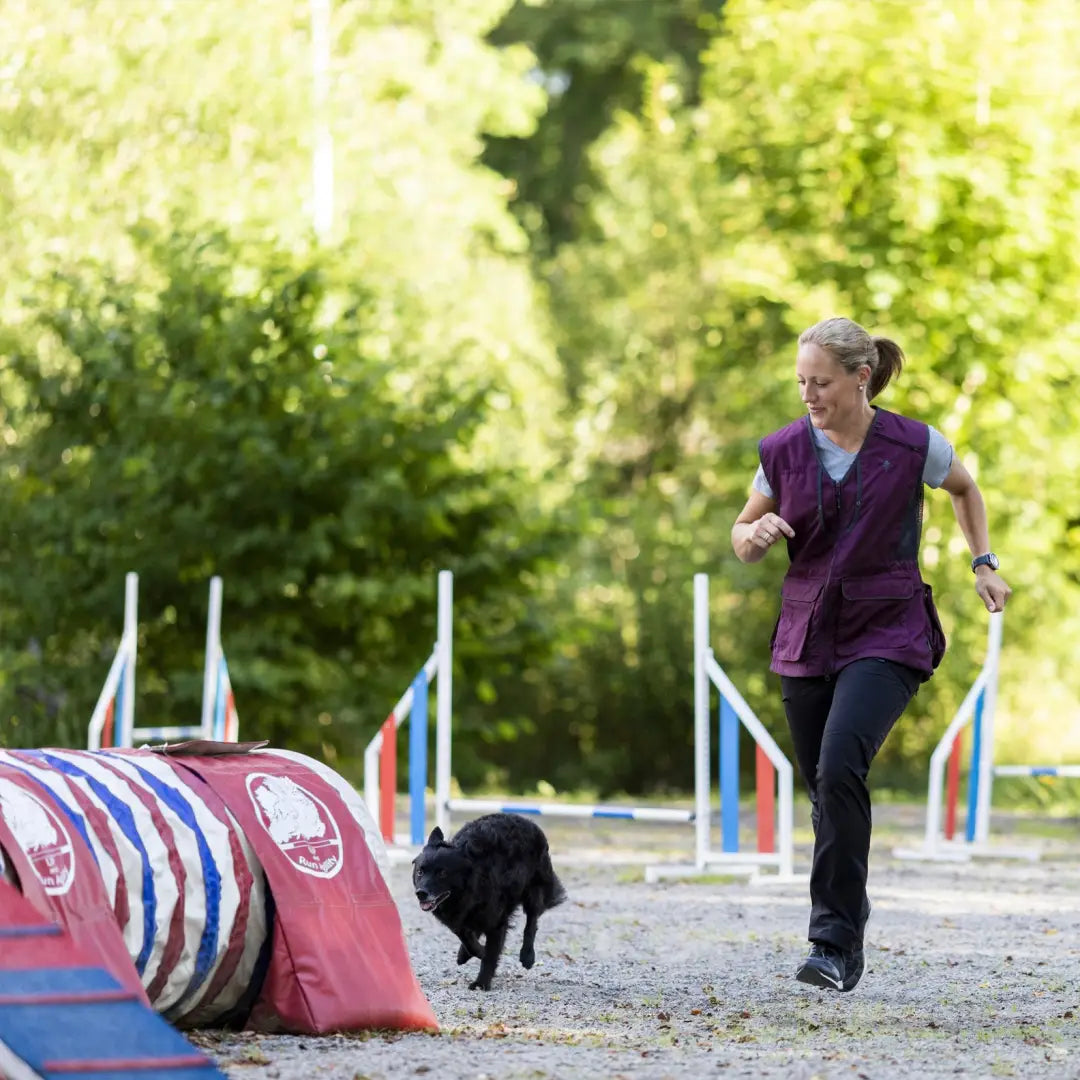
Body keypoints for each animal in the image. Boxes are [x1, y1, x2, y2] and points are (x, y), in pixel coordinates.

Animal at [410, 812, 565, 989]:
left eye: (442, 873)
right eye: (420, 872)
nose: (421, 893)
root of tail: (526, 820)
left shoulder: (497, 922)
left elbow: (490, 954)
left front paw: (481, 982)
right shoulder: (459, 919)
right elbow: (467, 937)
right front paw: (475, 952)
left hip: (534, 891)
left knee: (531, 923)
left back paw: (527, 956)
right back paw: (463, 954)